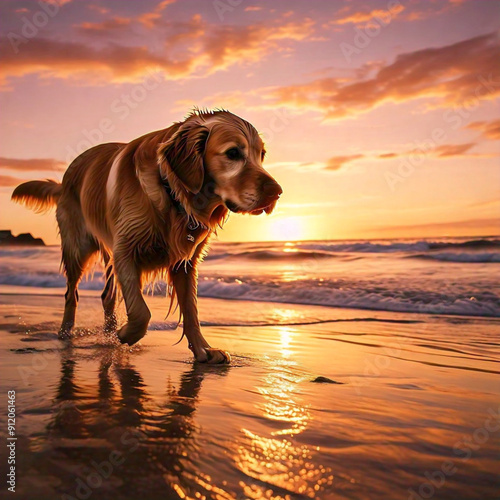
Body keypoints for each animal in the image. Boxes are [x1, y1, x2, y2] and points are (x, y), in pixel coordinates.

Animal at [12, 109, 282, 364]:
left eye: (261, 155)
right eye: (233, 153)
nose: (277, 192)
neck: (172, 193)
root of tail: (65, 176)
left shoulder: (185, 263)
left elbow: (191, 311)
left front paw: (204, 350)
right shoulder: (125, 250)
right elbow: (142, 311)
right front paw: (126, 334)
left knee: (107, 296)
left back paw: (107, 335)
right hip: (77, 248)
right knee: (72, 294)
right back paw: (66, 335)